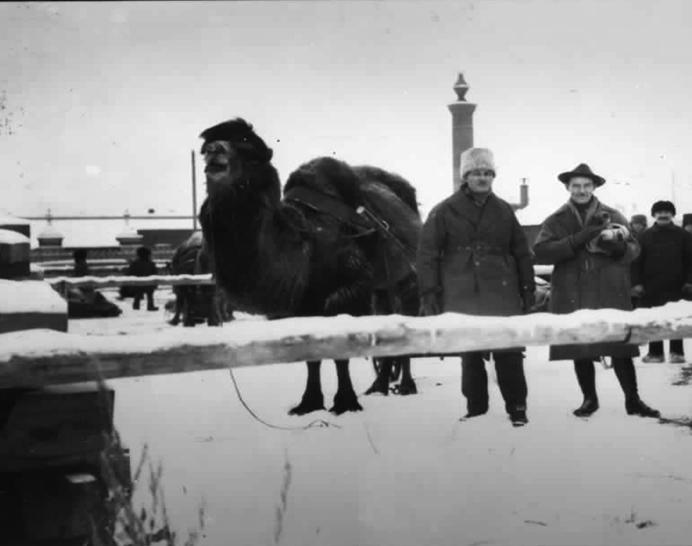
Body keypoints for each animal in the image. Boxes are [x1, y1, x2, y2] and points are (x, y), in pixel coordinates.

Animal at [197, 116, 418, 412]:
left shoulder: (349, 289)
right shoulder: (304, 304)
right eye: (206, 147)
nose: (214, 149)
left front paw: (345, 402)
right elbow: (311, 357)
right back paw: (379, 386)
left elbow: (341, 353)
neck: (306, 238)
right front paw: (309, 403)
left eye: (247, 146)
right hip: (382, 288)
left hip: (407, 279)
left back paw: (406, 386)